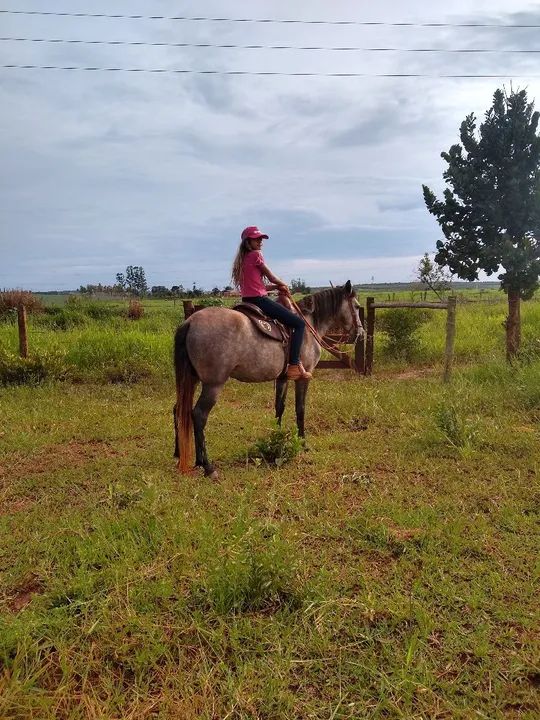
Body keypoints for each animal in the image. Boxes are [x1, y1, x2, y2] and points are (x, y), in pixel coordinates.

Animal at [173, 280, 364, 478]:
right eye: (357, 306)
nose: (361, 333)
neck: (309, 324)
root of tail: (190, 322)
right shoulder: (303, 378)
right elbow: (300, 409)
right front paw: (303, 443)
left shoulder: (282, 378)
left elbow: (279, 407)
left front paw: (276, 438)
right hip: (213, 385)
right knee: (199, 415)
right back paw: (207, 466)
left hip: (192, 380)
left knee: (179, 409)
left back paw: (181, 455)